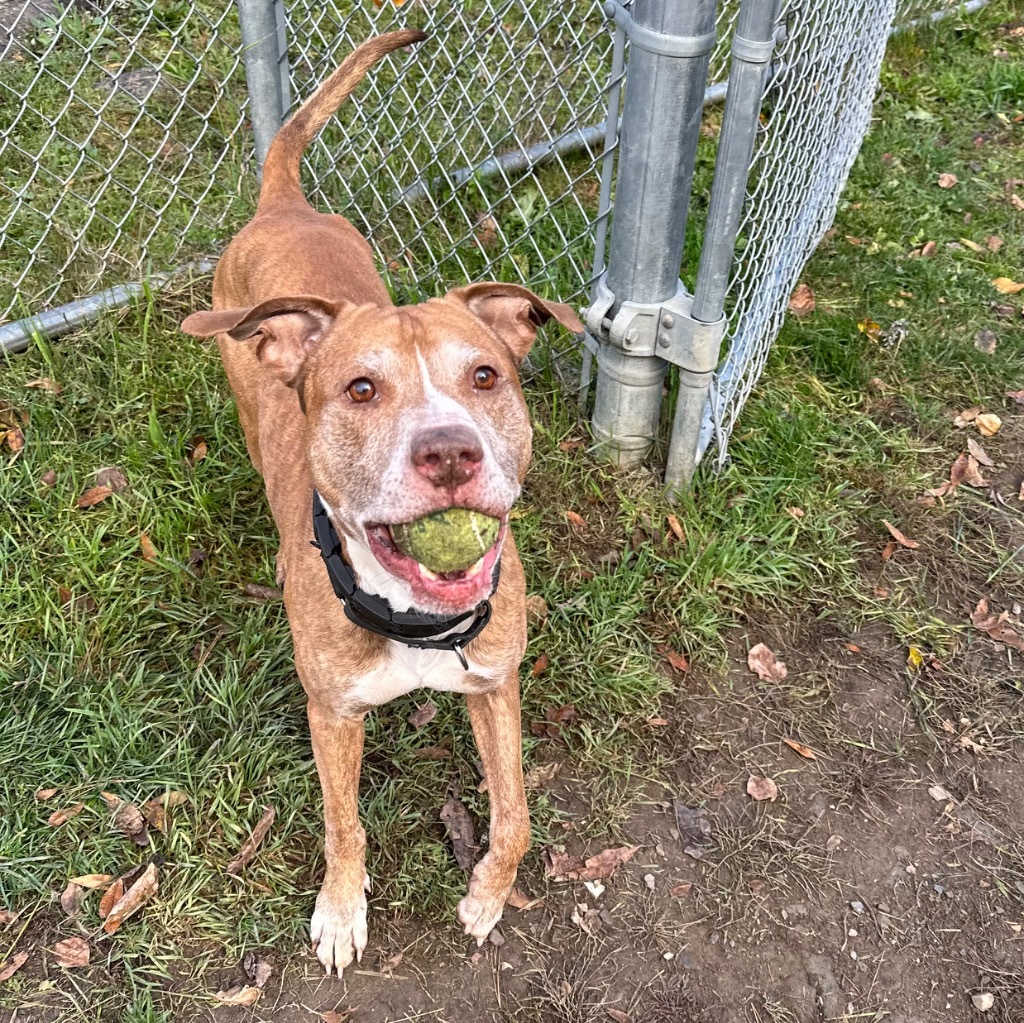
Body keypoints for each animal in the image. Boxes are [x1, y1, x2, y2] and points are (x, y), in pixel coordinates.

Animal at [180, 32, 585, 974]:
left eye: (487, 375)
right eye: (361, 388)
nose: (449, 451)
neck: (414, 616)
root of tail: (284, 204)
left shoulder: (496, 685)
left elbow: (515, 814)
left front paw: (486, 897)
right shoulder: (332, 715)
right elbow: (343, 824)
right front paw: (340, 912)